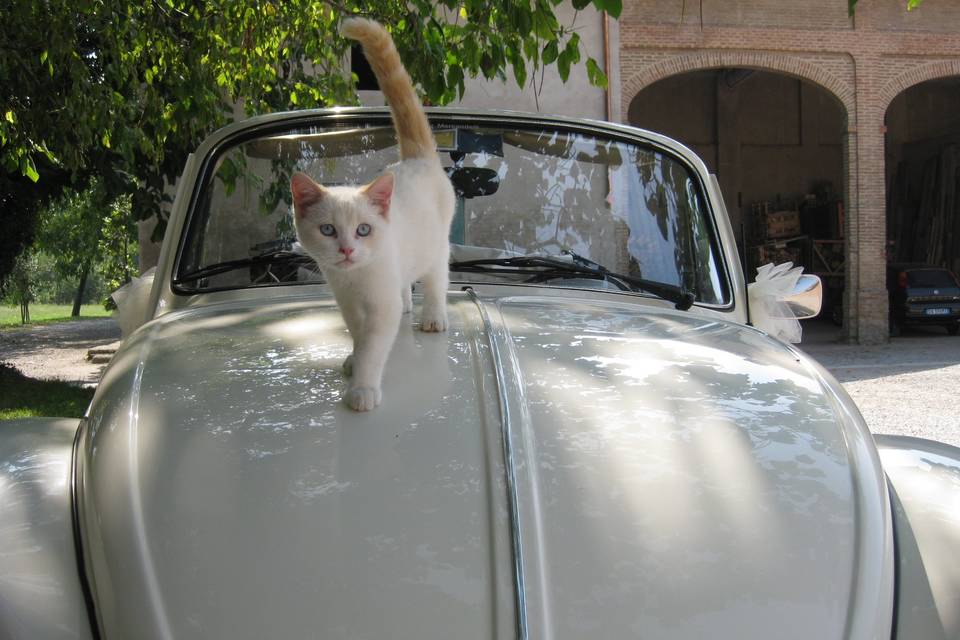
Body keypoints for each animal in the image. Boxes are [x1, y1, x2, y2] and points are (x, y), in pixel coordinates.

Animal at [290, 18, 456, 416]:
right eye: (328, 229)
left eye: (363, 230)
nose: (348, 250)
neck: (355, 280)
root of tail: (418, 159)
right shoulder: (348, 302)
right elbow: (356, 333)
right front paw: (353, 356)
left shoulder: (380, 306)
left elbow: (373, 345)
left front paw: (362, 387)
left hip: (437, 245)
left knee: (436, 279)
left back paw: (433, 316)